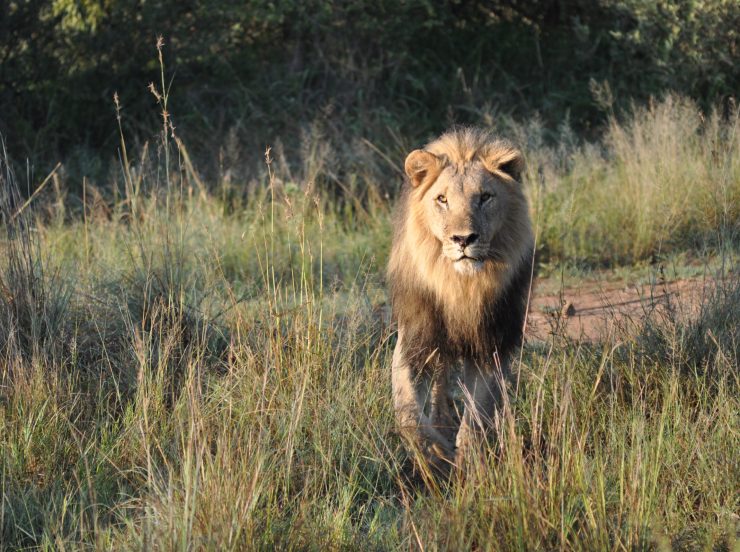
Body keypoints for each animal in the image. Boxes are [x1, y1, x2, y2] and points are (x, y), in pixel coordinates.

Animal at [388, 126, 532, 474]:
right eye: (442, 199)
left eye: (485, 197)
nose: (463, 239)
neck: (460, 286)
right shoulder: (414, 337)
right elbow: (407, 411)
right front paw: (434, 453)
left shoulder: (490, 343)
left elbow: (477, 413)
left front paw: (469, 462)